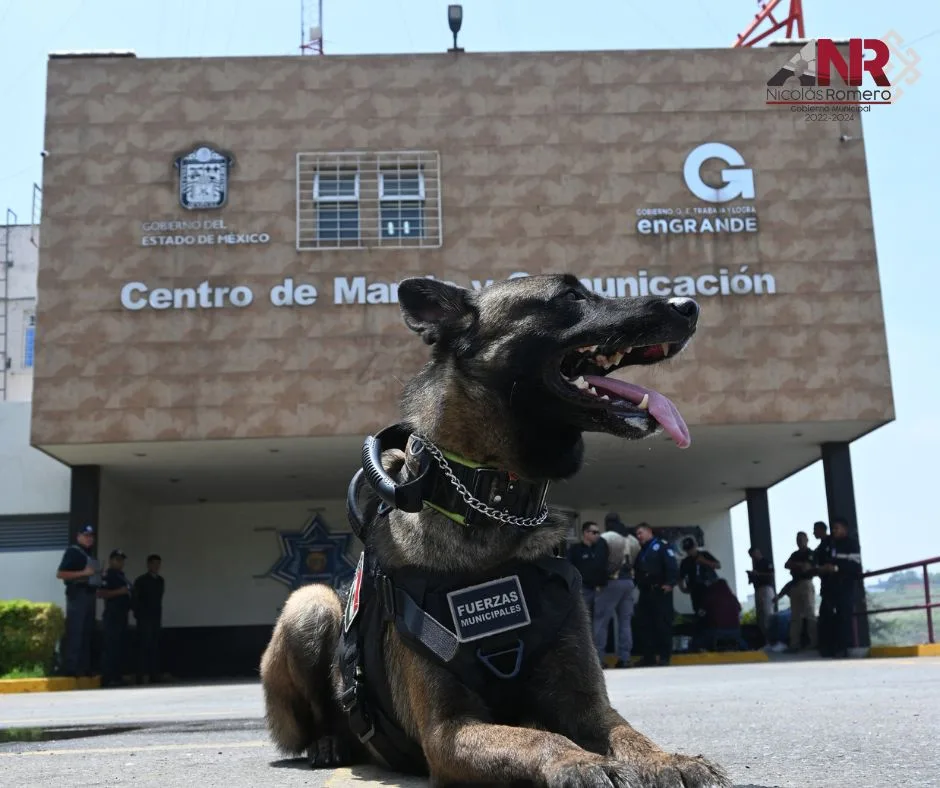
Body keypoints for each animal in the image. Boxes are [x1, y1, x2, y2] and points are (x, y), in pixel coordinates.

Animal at [260, 274, 732, 784]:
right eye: (571, 296)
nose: (690, 306)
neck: (490, 500)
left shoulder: (585, 704)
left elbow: (627, 733)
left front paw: (670, 760)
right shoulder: (447, 731)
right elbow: (540, 738)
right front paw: (582, 761)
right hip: (310, 603)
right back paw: (327, 743)